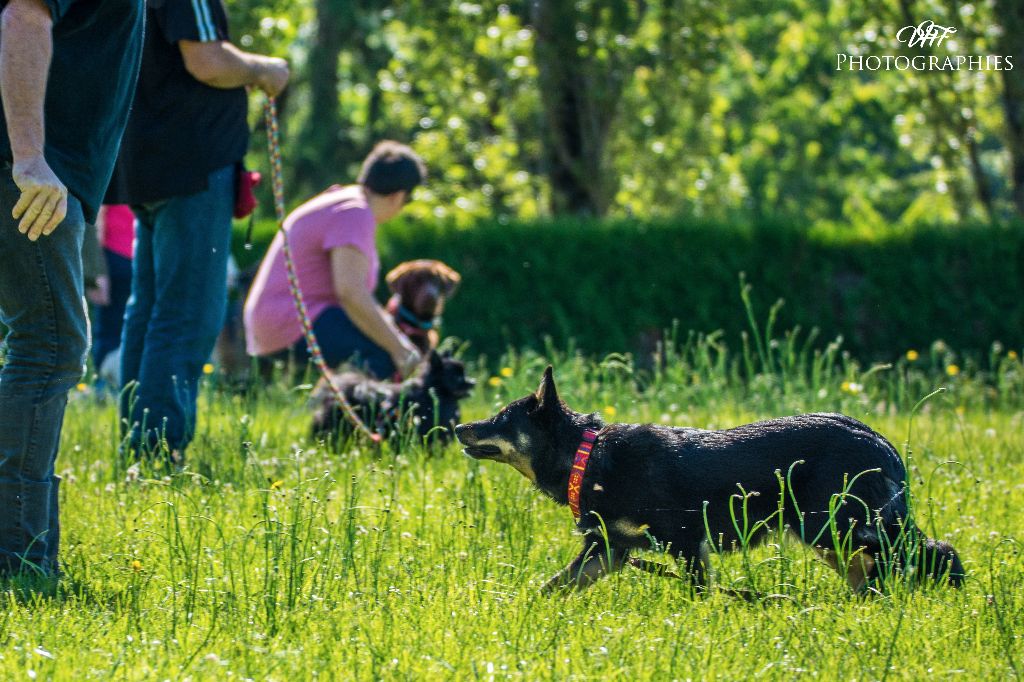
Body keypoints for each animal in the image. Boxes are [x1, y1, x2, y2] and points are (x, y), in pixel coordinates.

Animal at [452, 364, 962, 593]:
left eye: (500, 419)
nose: (457, 428)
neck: (588, 455)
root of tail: (877, 439)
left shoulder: (685, 543)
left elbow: (699, 594)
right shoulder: (608, 550)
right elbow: (552, 587)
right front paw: (521, 611)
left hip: (836, 526)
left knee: (932, 553)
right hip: (833, 536)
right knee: (876, 574)